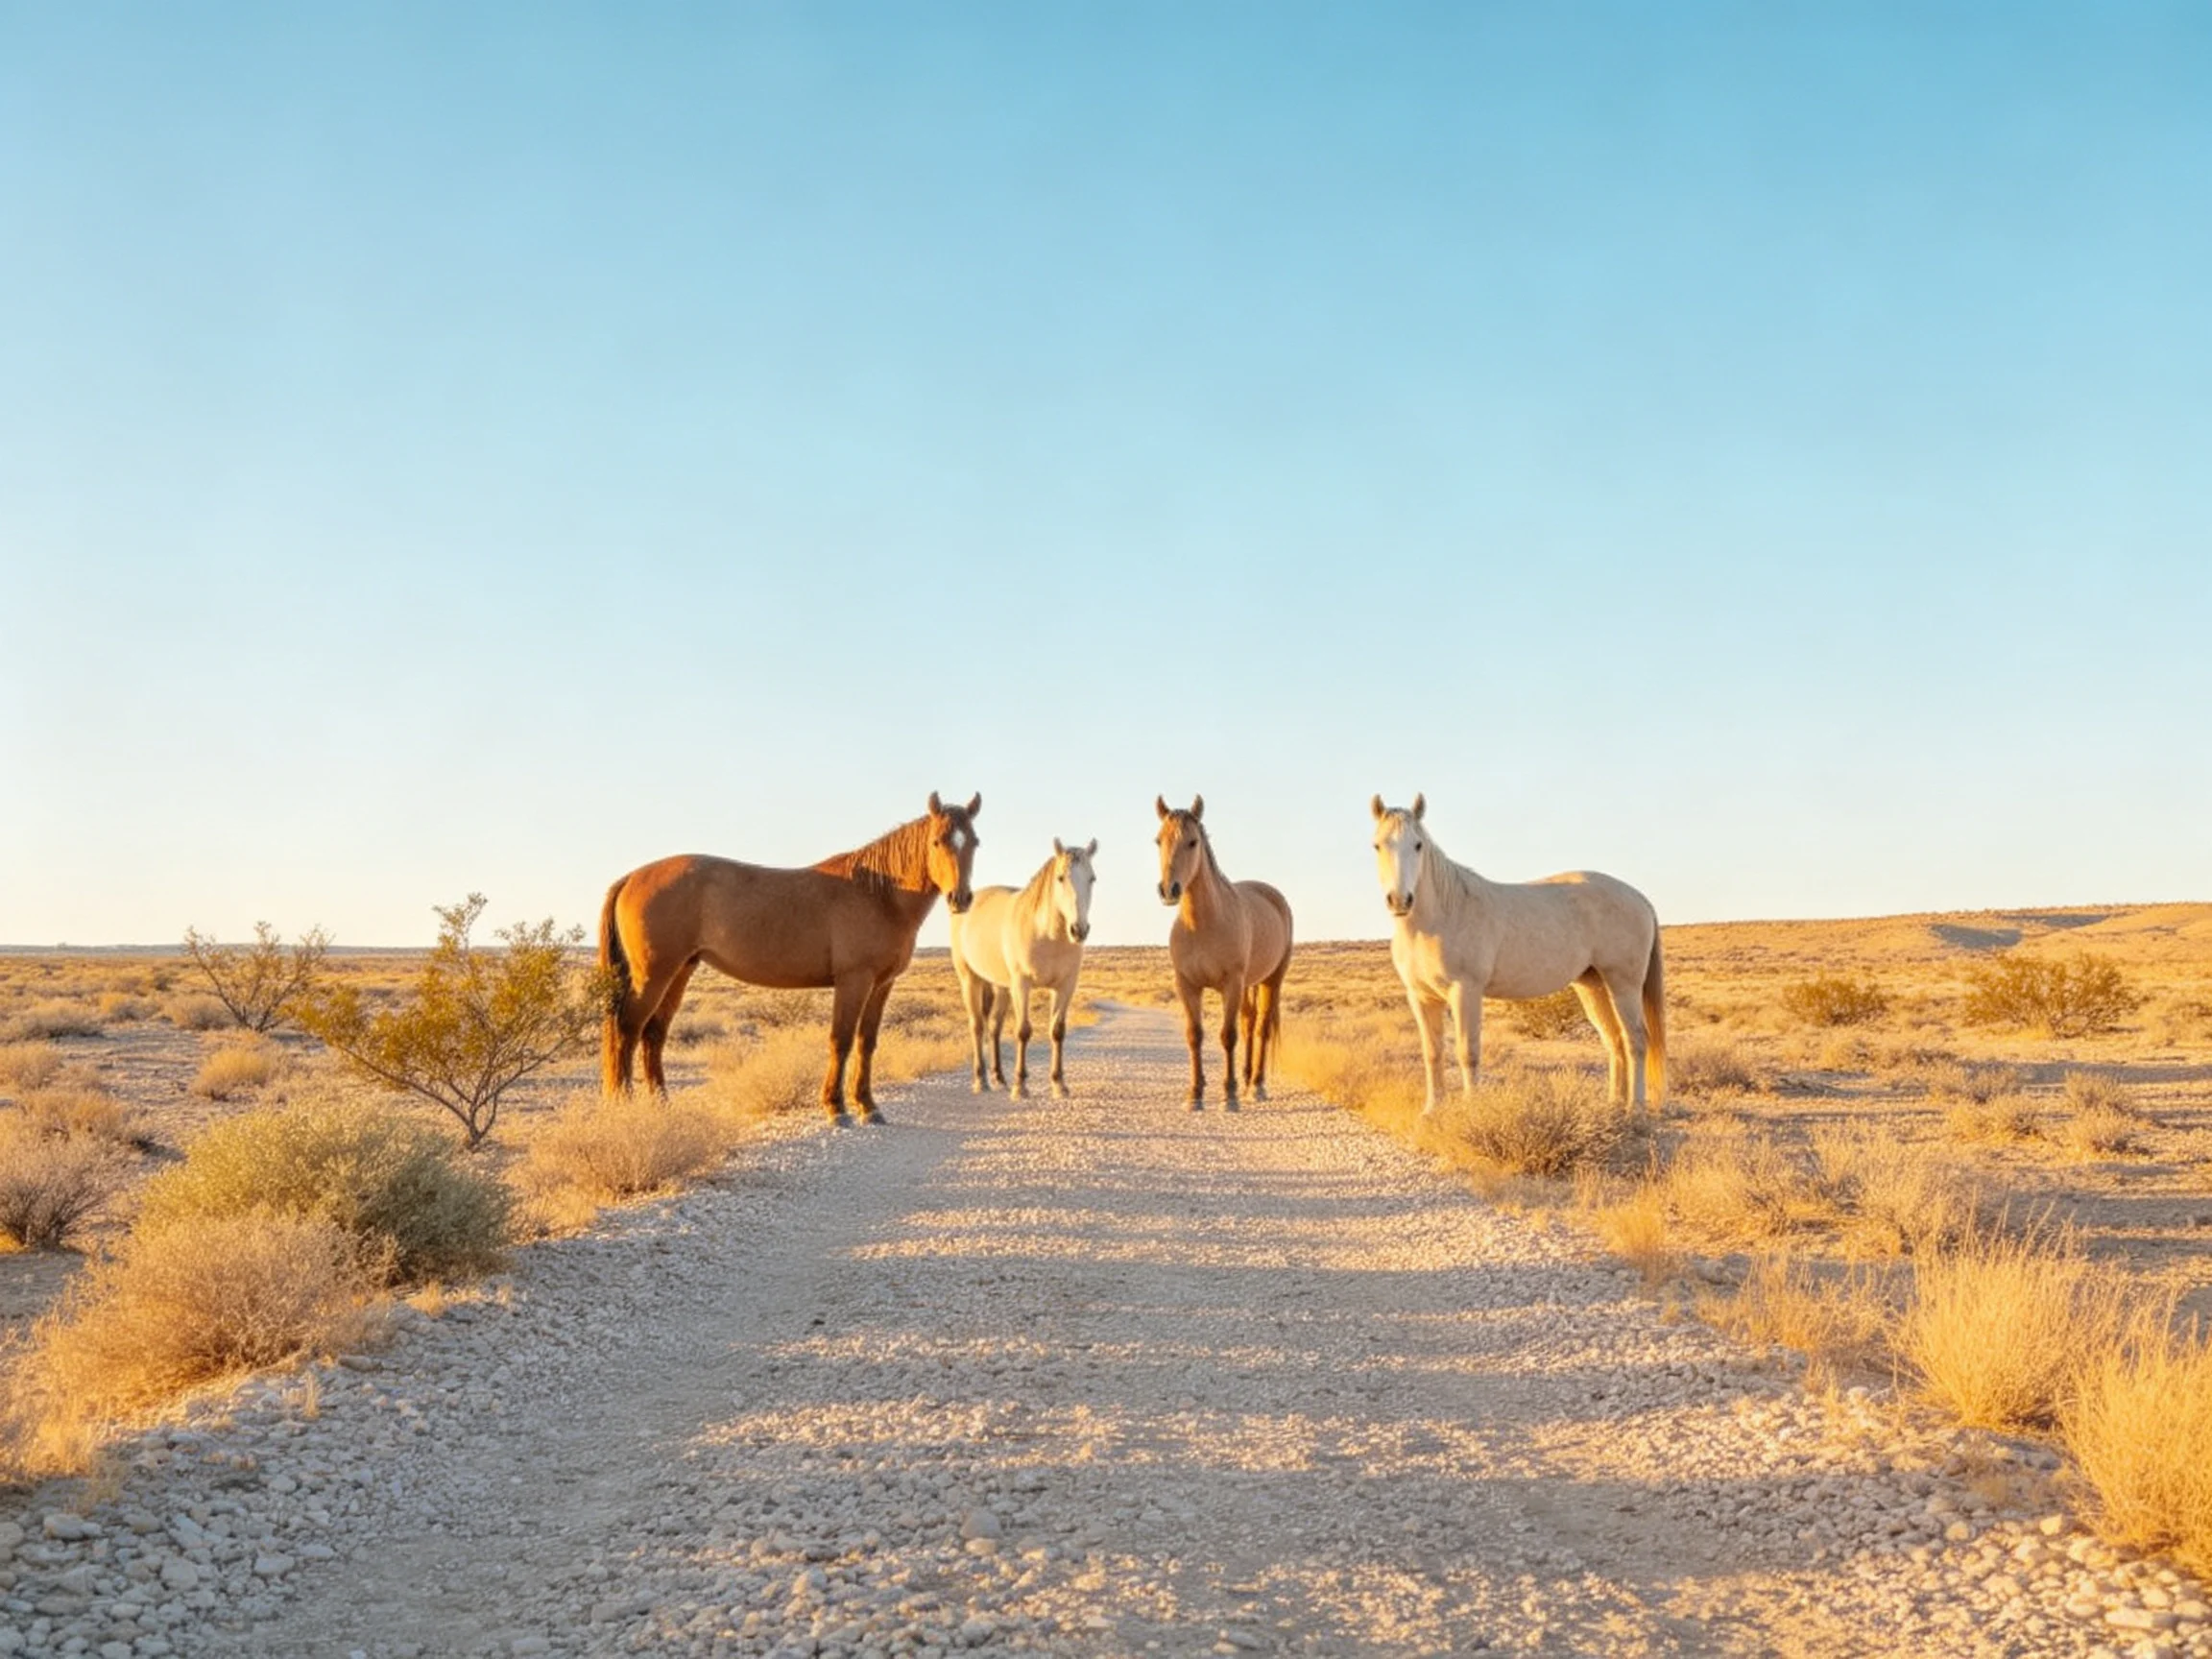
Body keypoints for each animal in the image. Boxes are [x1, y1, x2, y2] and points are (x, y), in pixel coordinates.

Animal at [599, 792, 981, 1124]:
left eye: (974, 842)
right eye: (937, 842)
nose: (960, 898)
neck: (880, 894)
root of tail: (632, 877)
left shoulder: (881, 984)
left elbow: (866, 1042)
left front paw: (868, 1107)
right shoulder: (853, 980)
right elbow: (841, 1040)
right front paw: (836, 1108)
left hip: (680, 970)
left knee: (653, 1034)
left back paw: (661, 1106)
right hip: (653, 974)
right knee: (627, 1029)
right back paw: (624, 1107)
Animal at [949, 837, 1098, 1099]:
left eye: (1092, 878)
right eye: (1060, 877)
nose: (1079, 930)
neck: (1047, 934)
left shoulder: (1065, 986)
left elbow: (1057, 1031)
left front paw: (1059, 1084)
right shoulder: (1022, 985)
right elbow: (1023, 1031)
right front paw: (1021, 1085)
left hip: (1001, 987)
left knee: (994, 1027)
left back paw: (999, 1078)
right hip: (970, 980)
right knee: (977, 1026)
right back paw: (981, 1080)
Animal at [1154, 796, 1293, 1110]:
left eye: (1193, 842)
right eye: (1158, 840)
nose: (1169, 890)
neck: (1202, 924)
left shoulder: (1231, 984)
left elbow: (1228, 1036)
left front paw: (1228, 1096)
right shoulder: (1187, 985)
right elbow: (1195, 1035)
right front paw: (1195, 1093)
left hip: (1271, 981)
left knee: (1261, 1027)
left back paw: (1256, 1086)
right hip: (1248, 985)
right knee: (1249, 1022)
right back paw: (1247, 1079)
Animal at [1370, 794, 1665, 1115]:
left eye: (1418, 845)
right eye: (1378, 845)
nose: (1400, 901)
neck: (1439, 917)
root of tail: (1640, 898)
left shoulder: (1466, 991)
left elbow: (1467, 1052)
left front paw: (1473, 1110)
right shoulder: (1421, 997)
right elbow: (1433, 1052)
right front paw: (1432, 1110)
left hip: (1624, 984)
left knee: (1636, 1039)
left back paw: (1635, 1108)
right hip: (1594, 985)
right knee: (1614, 1040)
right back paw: (1613, 1105)